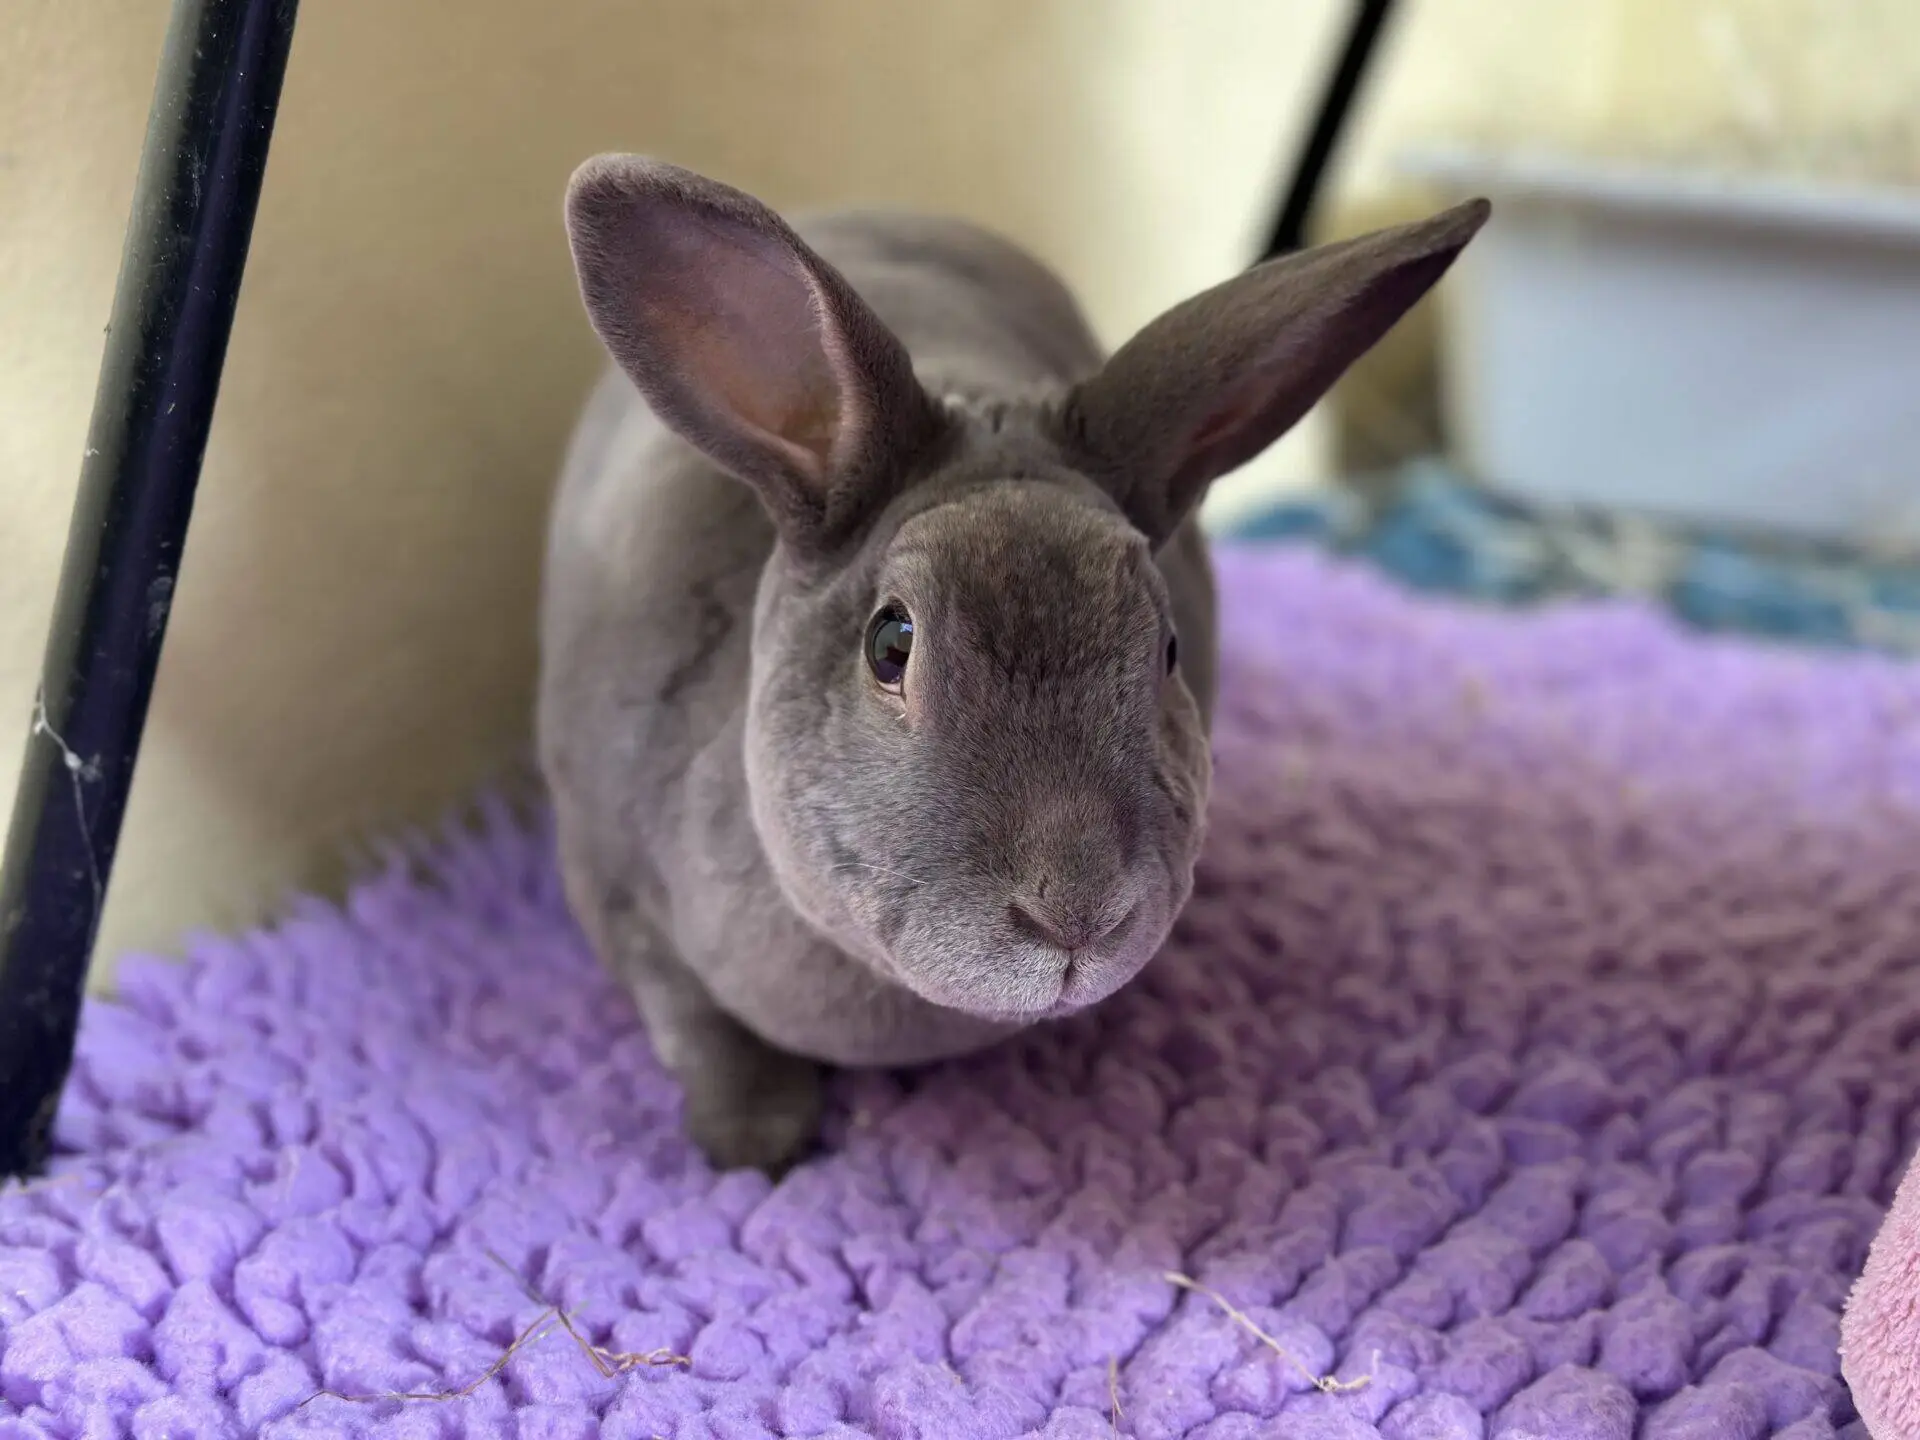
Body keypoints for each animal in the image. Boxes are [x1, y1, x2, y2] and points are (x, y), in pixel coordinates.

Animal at [538, 154, 1488, 1173]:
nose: (1076, 914)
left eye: (1168, 649)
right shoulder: (615, 896)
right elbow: (699, 1031)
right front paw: (757, 1145)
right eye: (891, 643)